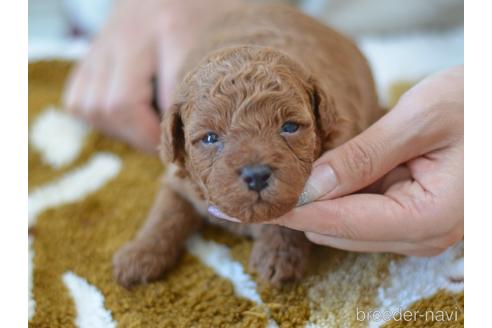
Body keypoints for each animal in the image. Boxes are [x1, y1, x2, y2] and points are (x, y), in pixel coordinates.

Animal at [114, 3, 380, 288]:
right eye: (209, 138)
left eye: (289, 127)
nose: (256, 175)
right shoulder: (178, 179)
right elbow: (166, 212)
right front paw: (139, 254)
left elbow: (285, 219)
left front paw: (277, 256)